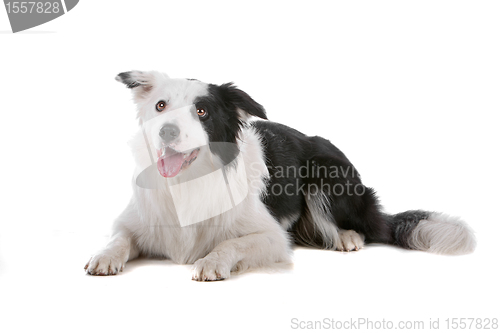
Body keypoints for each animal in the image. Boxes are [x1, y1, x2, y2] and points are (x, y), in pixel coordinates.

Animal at [85, 70, 476, 280]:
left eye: (202, 112)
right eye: (160, 106)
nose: (167, 131)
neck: (187, 183)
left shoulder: (272, 237)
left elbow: (231, 243)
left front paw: (211, 261)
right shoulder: (135, 220)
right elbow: (119, 237)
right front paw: (105, 255)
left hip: (326, 175)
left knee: (370, 226)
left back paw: (347, 235)